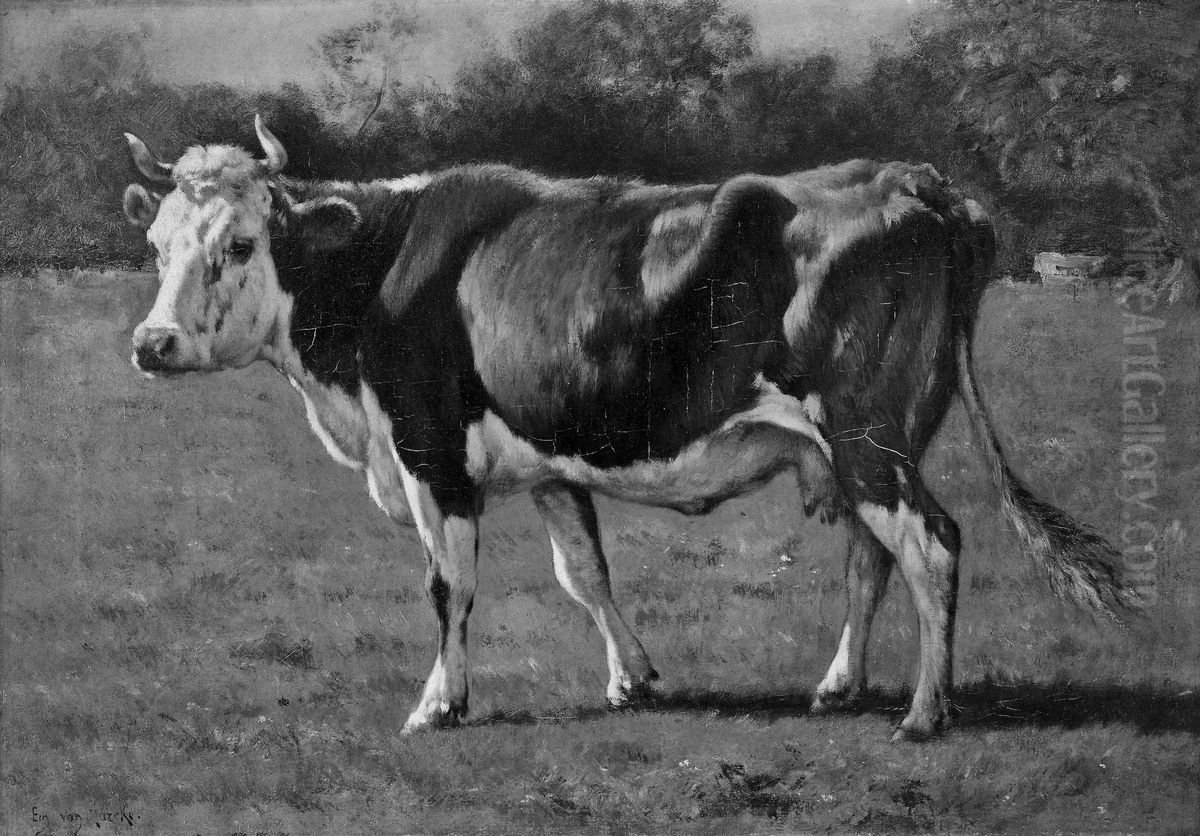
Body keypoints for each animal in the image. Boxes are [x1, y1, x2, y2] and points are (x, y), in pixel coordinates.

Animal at [120, 116, 1135, 742]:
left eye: (240, 244)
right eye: (158, 245)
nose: (151, 343)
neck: (382, 271)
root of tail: (912, 179)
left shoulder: (429, 453)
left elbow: (449, 587)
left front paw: (438, 705)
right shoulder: (550, 464)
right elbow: (584, 574)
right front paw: (631, 679)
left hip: (865, 434)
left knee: (932, 545)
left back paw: (925, 714)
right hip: (863, 450)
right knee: (874, 557)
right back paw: (838, 685)